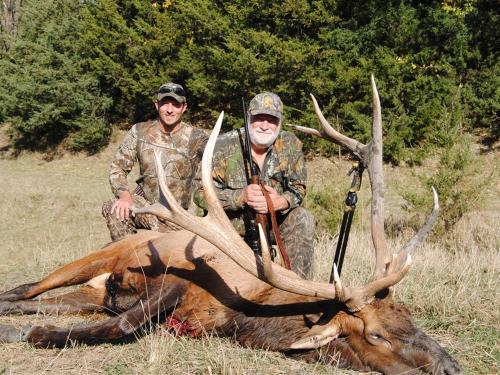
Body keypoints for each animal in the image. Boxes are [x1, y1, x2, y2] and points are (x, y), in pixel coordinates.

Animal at [0, 77, 460, 375]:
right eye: (377, 335)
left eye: (410, 318)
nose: (451, 366)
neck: (243, 312)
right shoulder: (177, 277)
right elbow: (125, 324)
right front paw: (35, 335)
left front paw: (32, 330)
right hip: (99, 256)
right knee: (26, 287)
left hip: (91, 293)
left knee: (39, 298)